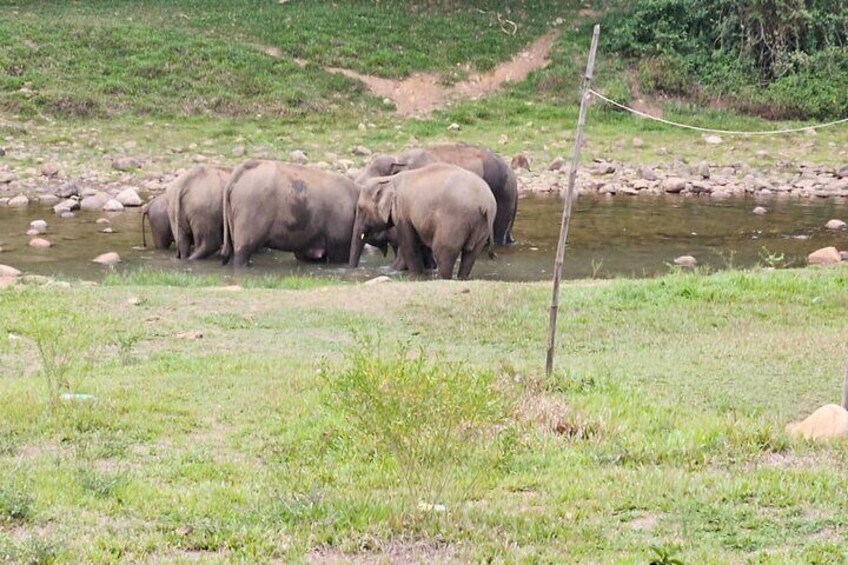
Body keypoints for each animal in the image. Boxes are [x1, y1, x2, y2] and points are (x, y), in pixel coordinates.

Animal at [350, 162, 496, 278]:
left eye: (360, 208)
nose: (352, 269)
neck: (389, 179)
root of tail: (486, 203)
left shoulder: (403, 212)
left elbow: (409, 245)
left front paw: (415, 275)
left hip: (454, 221)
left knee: (444, 252)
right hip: (482, 227)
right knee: (470, 255)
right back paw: (461, 278)